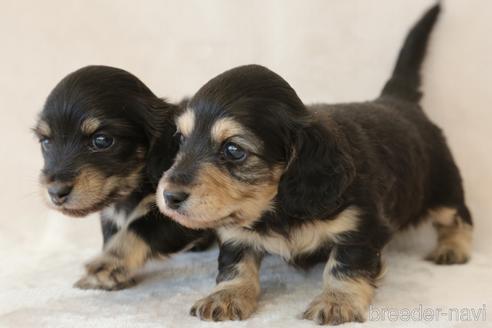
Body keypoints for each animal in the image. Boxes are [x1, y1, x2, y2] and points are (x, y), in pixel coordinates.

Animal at [32, 65, 213, 290]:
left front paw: (109, 263)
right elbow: (112, 233)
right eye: (46, 142)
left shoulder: (184, 210)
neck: (129, 193)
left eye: (102, 140)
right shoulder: (109, 213)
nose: (55, 192)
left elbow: (140, 227)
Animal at [157, 5, 472, 326]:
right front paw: (227, 295)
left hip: (444, 189)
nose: (169, 196)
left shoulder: (362, 227)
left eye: (234, 150)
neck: (278, 208)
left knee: (459, 217)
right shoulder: (236, 233)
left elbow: (344, 266)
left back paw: (453, 248)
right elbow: (236, 264)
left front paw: (336, 302)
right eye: (181, 140)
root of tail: (397, 100)